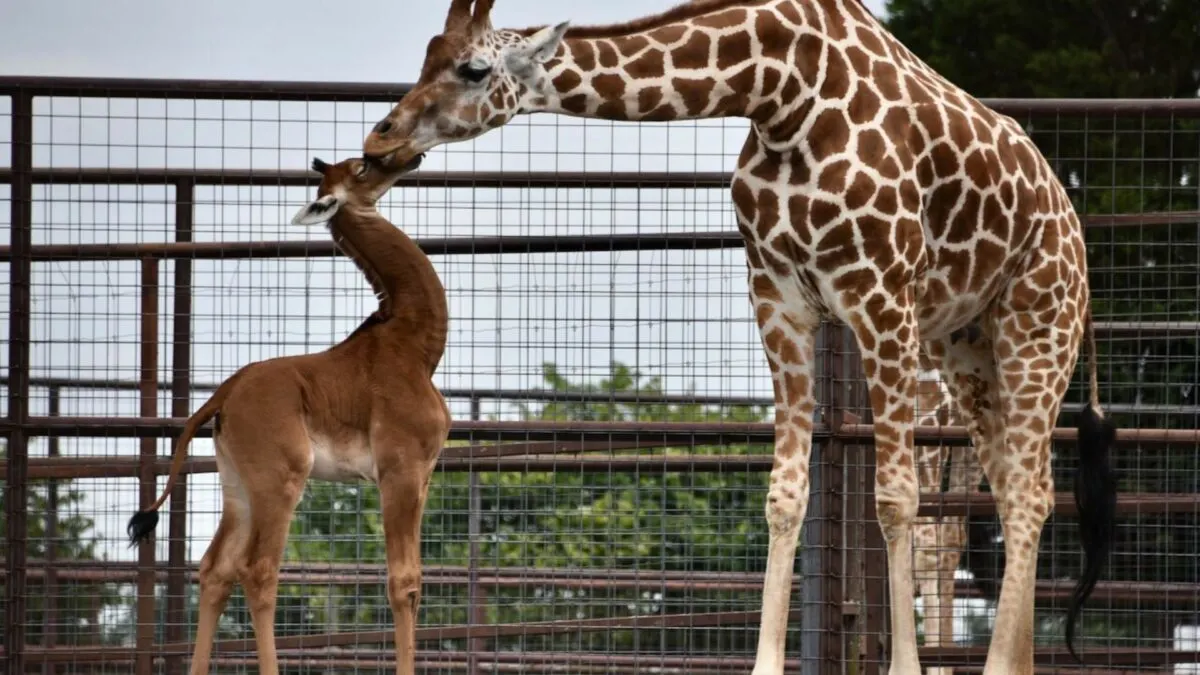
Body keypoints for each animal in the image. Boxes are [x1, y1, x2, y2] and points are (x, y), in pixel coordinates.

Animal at [127, 153, 451, 672]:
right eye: (362, 168)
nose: (412, 157)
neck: (414, 344)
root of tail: (223, 397)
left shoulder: (421, 476)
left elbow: (415, 579)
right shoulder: (401, 470)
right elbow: (404, 583)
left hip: (238, 484)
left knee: (215, 567)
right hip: (280, 481)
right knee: (258, 570)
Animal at [360, 1, 1118, 667]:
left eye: (473, 69)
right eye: (428, 56)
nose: (381, 137)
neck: (781, 92)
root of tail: (1072, 225)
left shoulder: (879, 296)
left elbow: (896, 497)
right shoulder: (778, 299)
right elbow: (785, 495)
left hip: (1036, 326)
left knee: (1027, 494)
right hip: (966, 349)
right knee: (1012, 487)